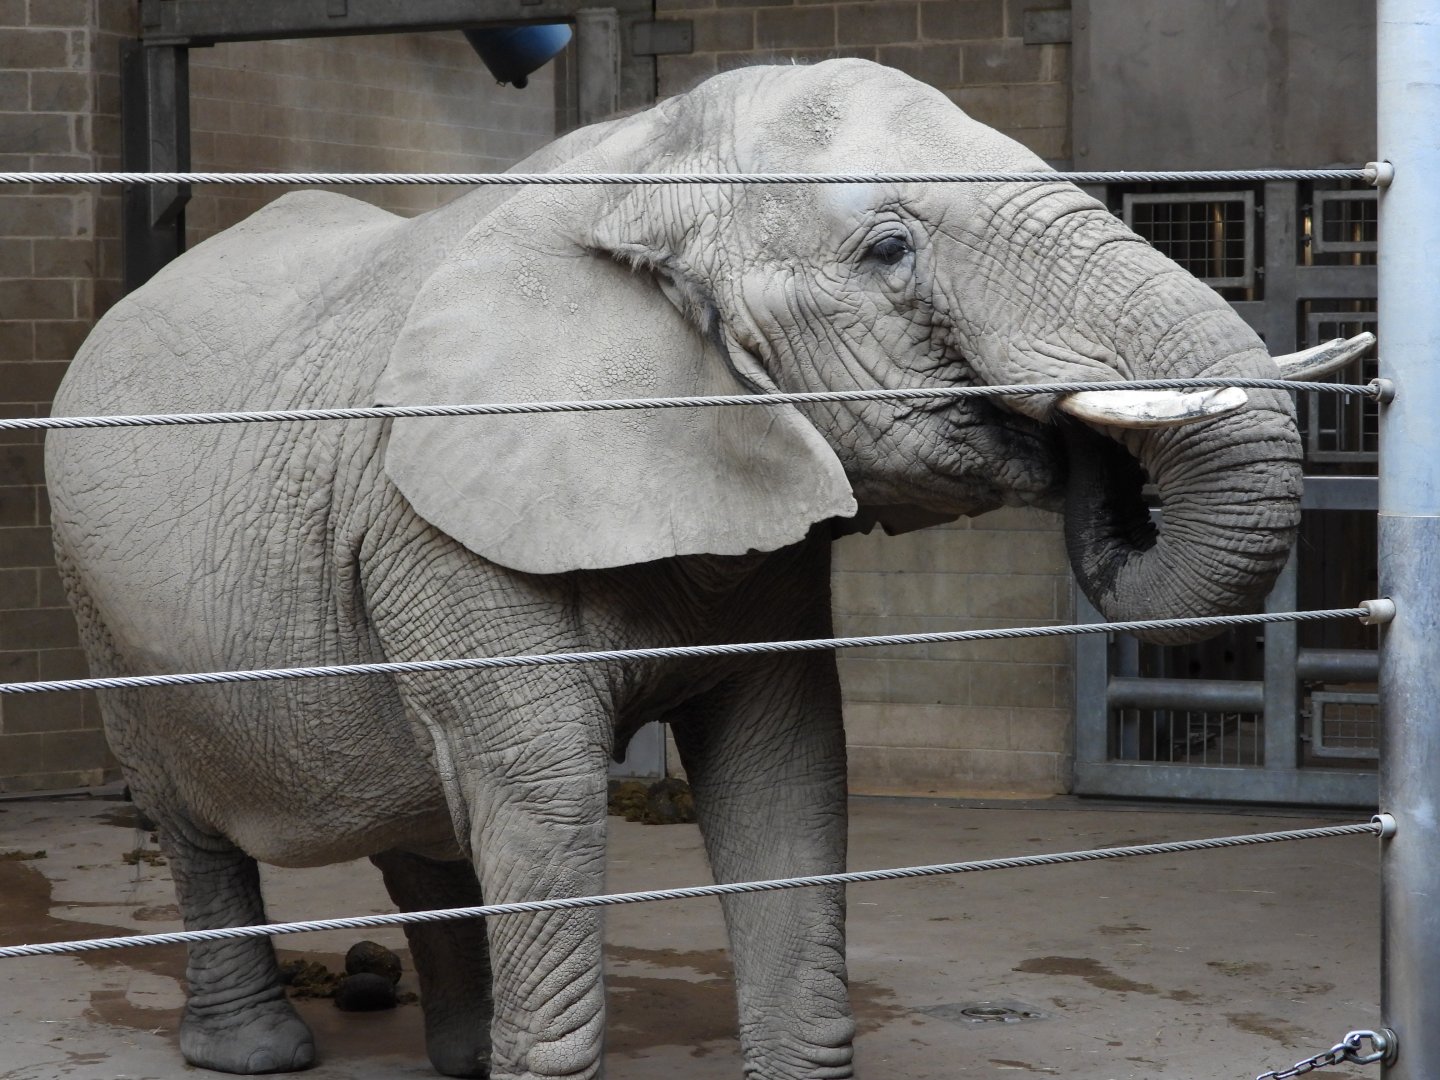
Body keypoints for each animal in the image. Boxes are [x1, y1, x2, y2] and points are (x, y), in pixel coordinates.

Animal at [46, 59, 1351, 1079]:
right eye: (890, 249)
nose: (1091, 462)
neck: (646, 164)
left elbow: (788, 775)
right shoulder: (437, 526)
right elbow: (548, 797)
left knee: (422, 809)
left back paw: (458, 1053)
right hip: (99, 599)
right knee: (197, 820)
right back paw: (259, 1054)